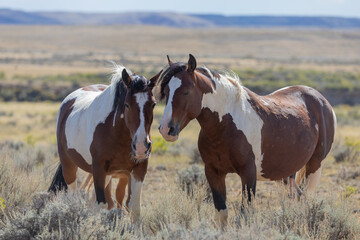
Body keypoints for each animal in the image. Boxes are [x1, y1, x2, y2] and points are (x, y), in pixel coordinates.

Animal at [48, 64, 160, 218]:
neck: (117, 134)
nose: (141, 147)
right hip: (69, 165)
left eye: (153, 104)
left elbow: (133, 207)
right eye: (127, 105)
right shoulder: (99, 169)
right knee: (73, 195)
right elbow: (101, 204)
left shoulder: (138, 169)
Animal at [156, 54, 336, 227]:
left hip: (314, 166)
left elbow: (245, 214)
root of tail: (321, 100)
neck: (225, 125)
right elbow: (222, 214)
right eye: (166, 91)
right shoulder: (213, 172)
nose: (166, 129)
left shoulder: (248, 173)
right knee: (297, 197)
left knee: (307, 197)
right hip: (286, 172)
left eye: (186, 91)